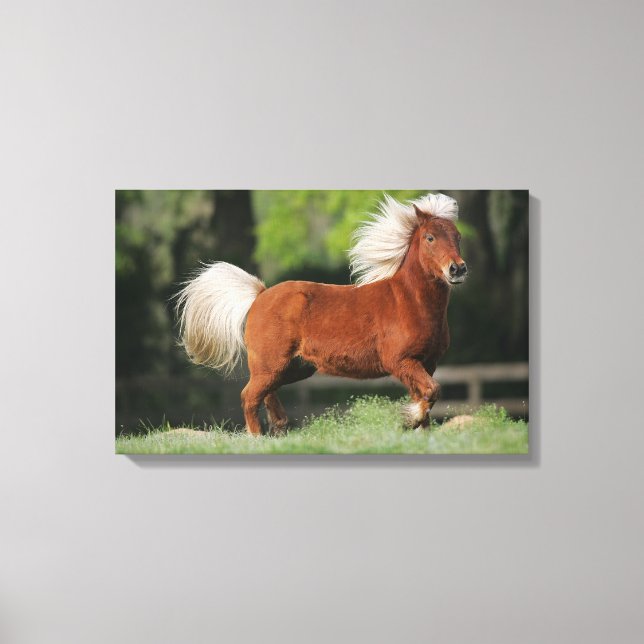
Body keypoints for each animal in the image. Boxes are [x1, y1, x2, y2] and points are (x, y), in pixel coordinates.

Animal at [176, 192, 467, 435]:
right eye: (430, 237)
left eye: (458, 237)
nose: (457, 269)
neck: (408, 302)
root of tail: (259, 295)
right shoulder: (400, 361)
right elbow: (432, 391)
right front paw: (410, 420)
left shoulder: (427, 363)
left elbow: (426, 395)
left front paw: (420, 431)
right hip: (271, 365)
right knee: (249, 396)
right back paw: (257, 438)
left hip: (293, 368)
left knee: (266, 395)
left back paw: (279, 429)